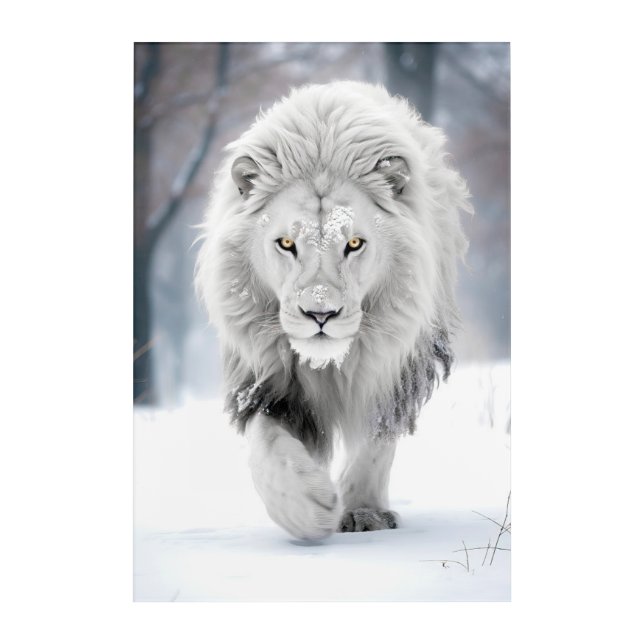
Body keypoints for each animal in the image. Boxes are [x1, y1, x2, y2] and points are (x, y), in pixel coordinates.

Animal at [195, 81, 471, 540]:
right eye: (287, 243)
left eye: (354, 243)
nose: (320, 315)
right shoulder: (264, 378)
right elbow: (266, 446)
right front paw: (307, 506)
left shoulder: (395, 366)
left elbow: (376, 440)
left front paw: (363, 512)